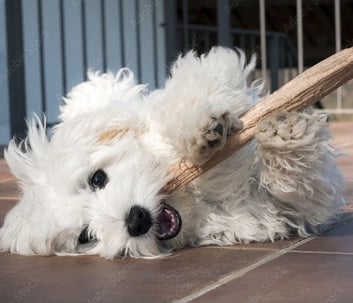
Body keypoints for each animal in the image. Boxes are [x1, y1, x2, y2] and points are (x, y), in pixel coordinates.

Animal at [0, 47, 342, 258]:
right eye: (86, 236)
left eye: (97, 178)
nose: (135, 220)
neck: (191, 200)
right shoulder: (272, 211)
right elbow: (299, 190)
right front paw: (286, 137)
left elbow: (203, 81)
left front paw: (202, 129)